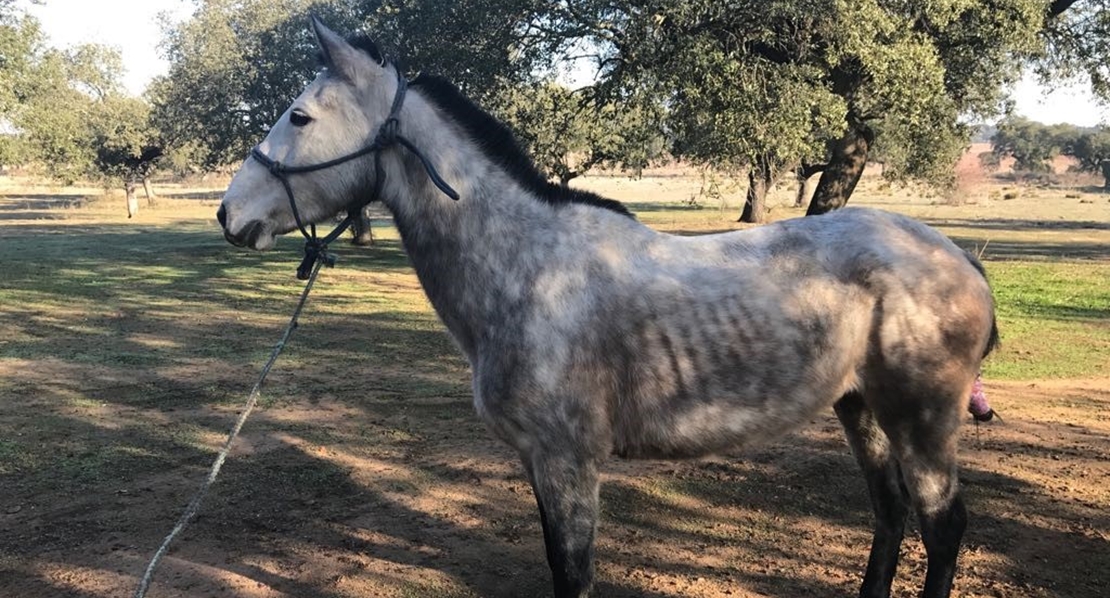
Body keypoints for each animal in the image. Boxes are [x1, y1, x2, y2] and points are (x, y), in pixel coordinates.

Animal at [220, 18, 1003, 598]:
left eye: (300, 115)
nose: (230, 215)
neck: (529, 267)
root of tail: (956, 256)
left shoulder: (568, 461)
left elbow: (573, 573)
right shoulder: (540, 461)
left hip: (922, 421)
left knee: (942, 528)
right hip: (860, 406)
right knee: (890, 515)